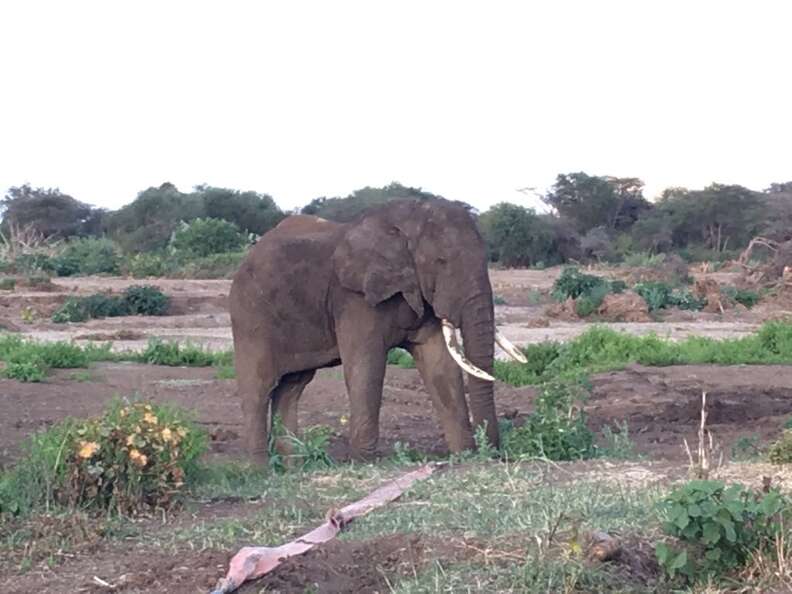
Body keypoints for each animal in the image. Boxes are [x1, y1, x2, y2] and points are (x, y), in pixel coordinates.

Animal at [229, 198, 526, 464]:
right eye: (440, 261)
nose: (494, 453)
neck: (407, 218)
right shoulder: (353, 297)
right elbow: (366, 367)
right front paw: (364, 463)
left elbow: (440, 366)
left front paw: (465, 456)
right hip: (249, 316)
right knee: (258, 388)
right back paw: (260, 472)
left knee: (291, 388)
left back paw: (294, 469)